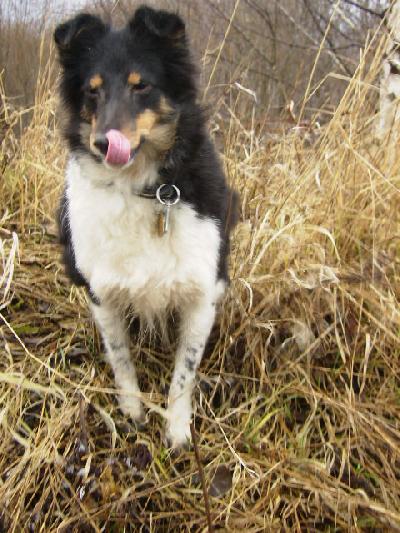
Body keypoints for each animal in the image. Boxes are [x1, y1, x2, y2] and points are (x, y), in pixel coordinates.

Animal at [54, 5, 238, 448]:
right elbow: (121, 358)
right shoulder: (102, 294)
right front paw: (132, 411)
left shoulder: (203, 292)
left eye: (142, 86)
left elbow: (184, 373)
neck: (145, 189)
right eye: (92, 91)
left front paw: (177, 430)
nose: (105, 143)